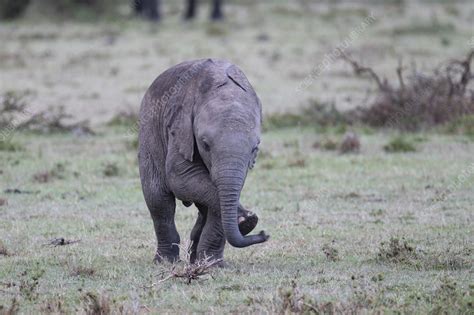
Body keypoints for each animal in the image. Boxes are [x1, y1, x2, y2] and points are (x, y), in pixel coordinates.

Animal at [139, 59, 268, 264]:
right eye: (205, 144)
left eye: (254, 149)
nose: (264, 234)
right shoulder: (179, 128)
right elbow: (180, 178)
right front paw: (247, 220)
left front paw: (212, 265)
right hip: (148, 130)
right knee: (158, 199)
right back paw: (166, 262)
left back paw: (195, 261)